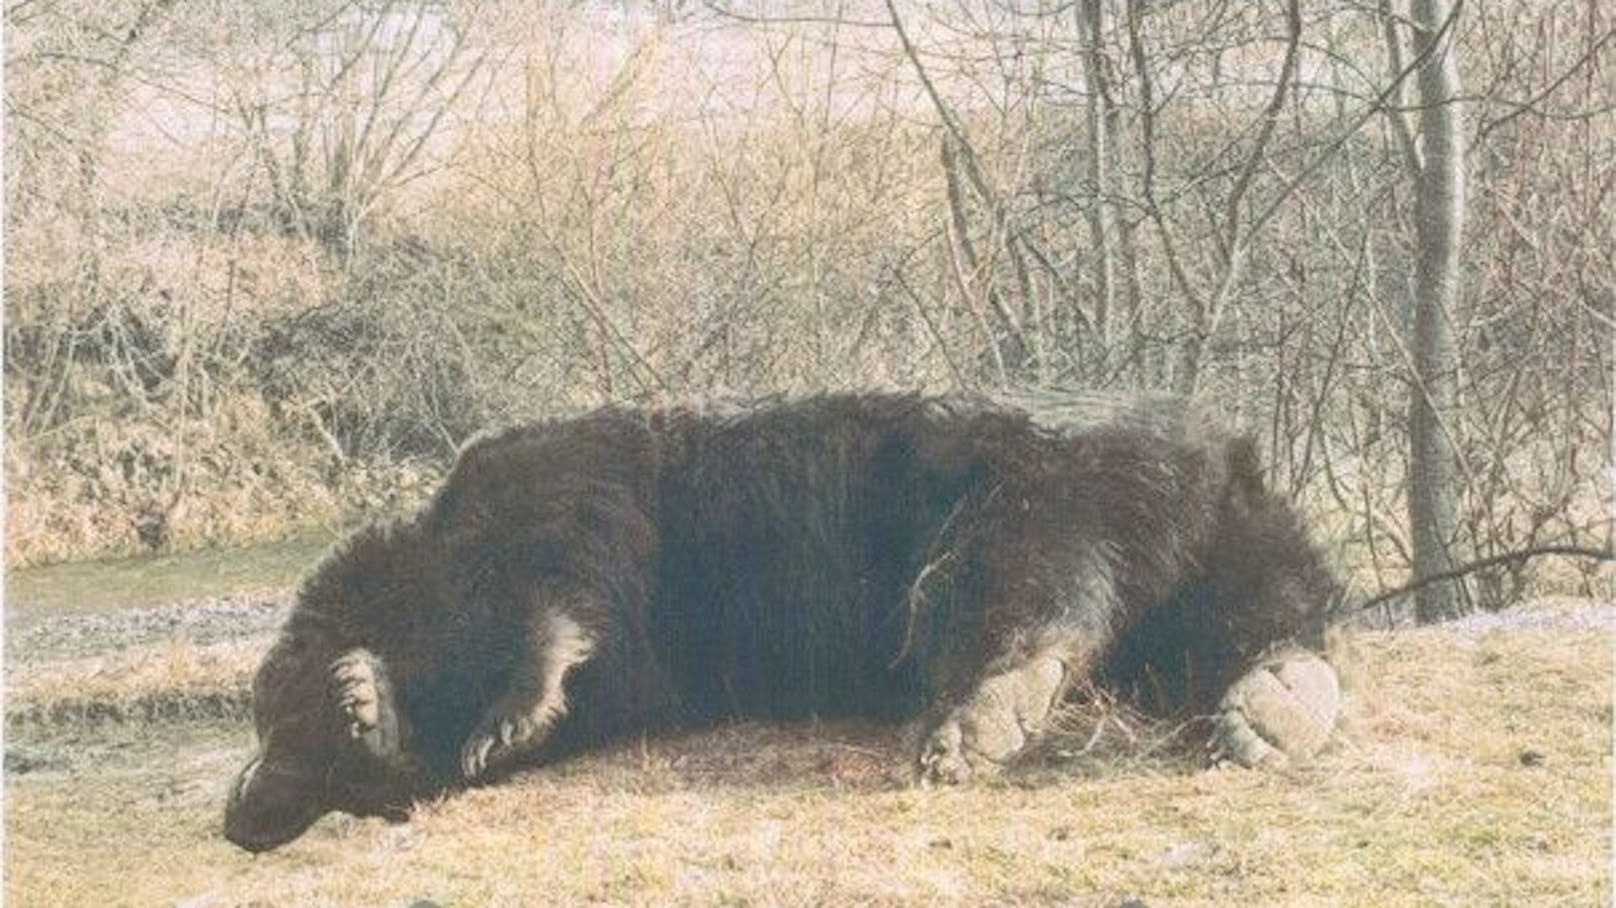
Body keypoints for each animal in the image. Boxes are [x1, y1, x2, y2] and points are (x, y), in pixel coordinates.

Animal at [224, 389, 1338, 846]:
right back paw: (1274, 702)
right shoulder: (643, 665)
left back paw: (979, 716)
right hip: (1214, 525)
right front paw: (381, 714)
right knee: (1252, 601)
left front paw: (447, 707)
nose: (243, 812)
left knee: (1019, 566)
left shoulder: (554, 488)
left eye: (271, 722)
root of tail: (1211, 457)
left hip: (1041, 471)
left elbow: (566, 585)